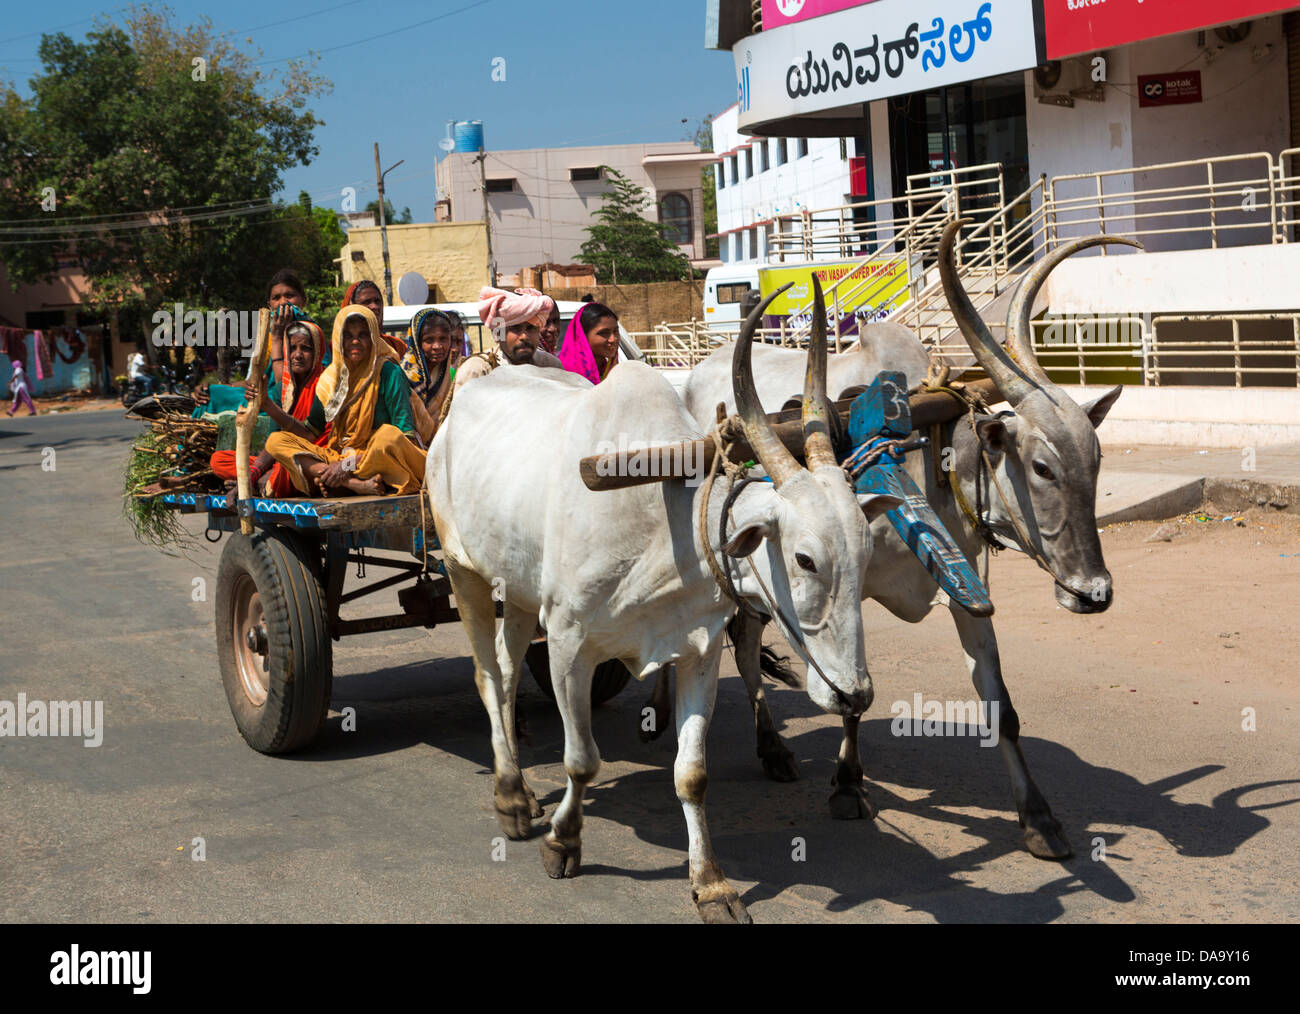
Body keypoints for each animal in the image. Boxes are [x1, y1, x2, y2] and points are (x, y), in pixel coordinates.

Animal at [426, 285, 902, 923]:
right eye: (804, 559)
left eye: (866, 552)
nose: (856, 695)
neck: (665, 523)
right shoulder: (569, 643)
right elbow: (582, 760)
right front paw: (563, 842)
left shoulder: (698, 651)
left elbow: (692, 774)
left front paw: (712, 884)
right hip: (464, 572)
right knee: (485, 675)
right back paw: (511, 797)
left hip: (518, 588)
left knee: (504, 671)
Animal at [661, 220, 1138, 859]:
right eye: (1042, 468)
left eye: (1097, 459)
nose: (1094, 593)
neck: (922, 454)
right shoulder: (844, 586)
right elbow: (852, 693)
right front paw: (847, 785)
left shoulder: (965, 590)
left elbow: (1000, 705)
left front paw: (1038, 817)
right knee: (740, 648)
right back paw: (756, 741)